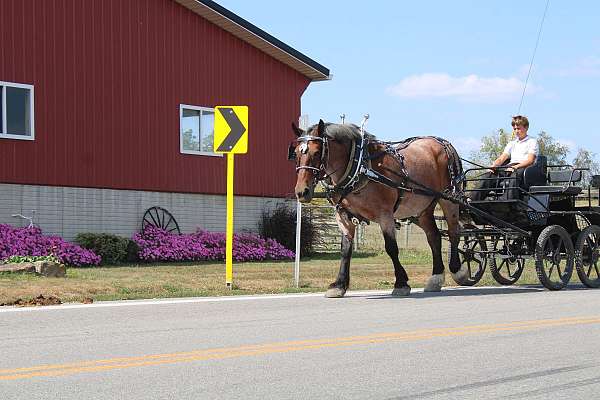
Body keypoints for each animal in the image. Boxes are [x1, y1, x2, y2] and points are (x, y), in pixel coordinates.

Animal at [290, 119, 468, 296]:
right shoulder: (343, 216)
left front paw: (401, 283)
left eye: (316, 152)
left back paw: (457, 270)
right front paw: (339, 285)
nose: (302, 192)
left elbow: (391, 248)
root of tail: (444, 143)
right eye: (296, 153)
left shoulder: (385, 215)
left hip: (449, 199)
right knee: (434, 237)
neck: (360, 166)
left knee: (454, 231)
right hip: (421, 209)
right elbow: (345, 250)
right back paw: (436, 278)